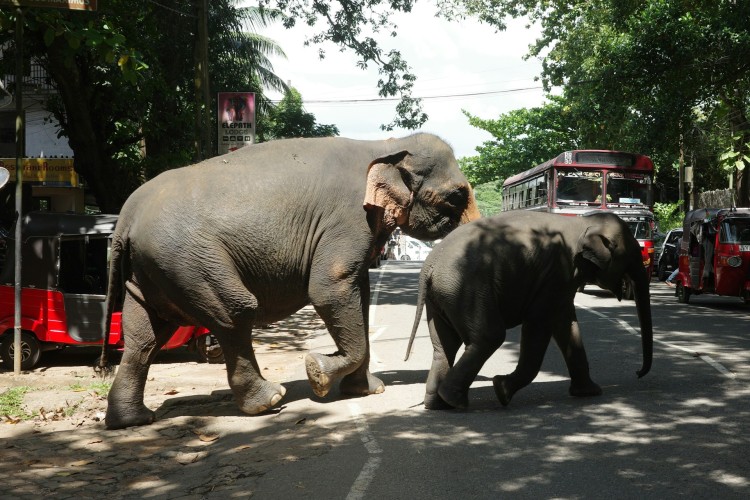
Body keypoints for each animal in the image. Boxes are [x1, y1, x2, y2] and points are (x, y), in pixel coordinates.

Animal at [101, 133, 481, 429]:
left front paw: (368, 389)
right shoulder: (346, 218)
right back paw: (270, 400)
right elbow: (329, 289)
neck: (385, 145)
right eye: (456, 196)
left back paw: (133, 420)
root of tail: (127, 215)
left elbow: (358, 295)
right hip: (187, 260)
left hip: (152, 271)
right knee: (235, 311)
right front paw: (317, 372)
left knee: (147, 335)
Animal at [404, 211, 653, 410]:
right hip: (465, 288)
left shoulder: (561, 281)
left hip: (443, 296)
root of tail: (429, 266)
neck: (585, 222)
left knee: (444, 346)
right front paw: (502, 389)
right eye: (631, 255)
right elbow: (539, 322)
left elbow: (566, 324)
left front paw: (590, 393)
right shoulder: (556, 272)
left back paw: (438, 404)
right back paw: (455, 402)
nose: (637, 373)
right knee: (489, 336)